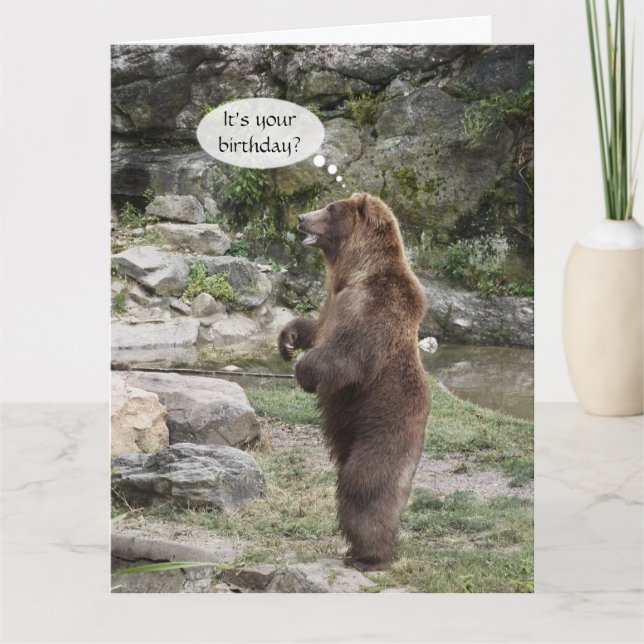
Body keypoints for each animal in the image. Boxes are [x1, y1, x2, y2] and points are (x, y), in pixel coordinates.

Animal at [278, 192, 431, 571]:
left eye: (330, 209)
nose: (301, 217)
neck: (355, 270)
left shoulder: (375, 307)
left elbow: (348, 357)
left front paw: (304, 374)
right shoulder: (333, 300)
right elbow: (316, 327)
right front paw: (287, 339)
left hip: (385, 428)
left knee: (364, 484)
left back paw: (370, 555)